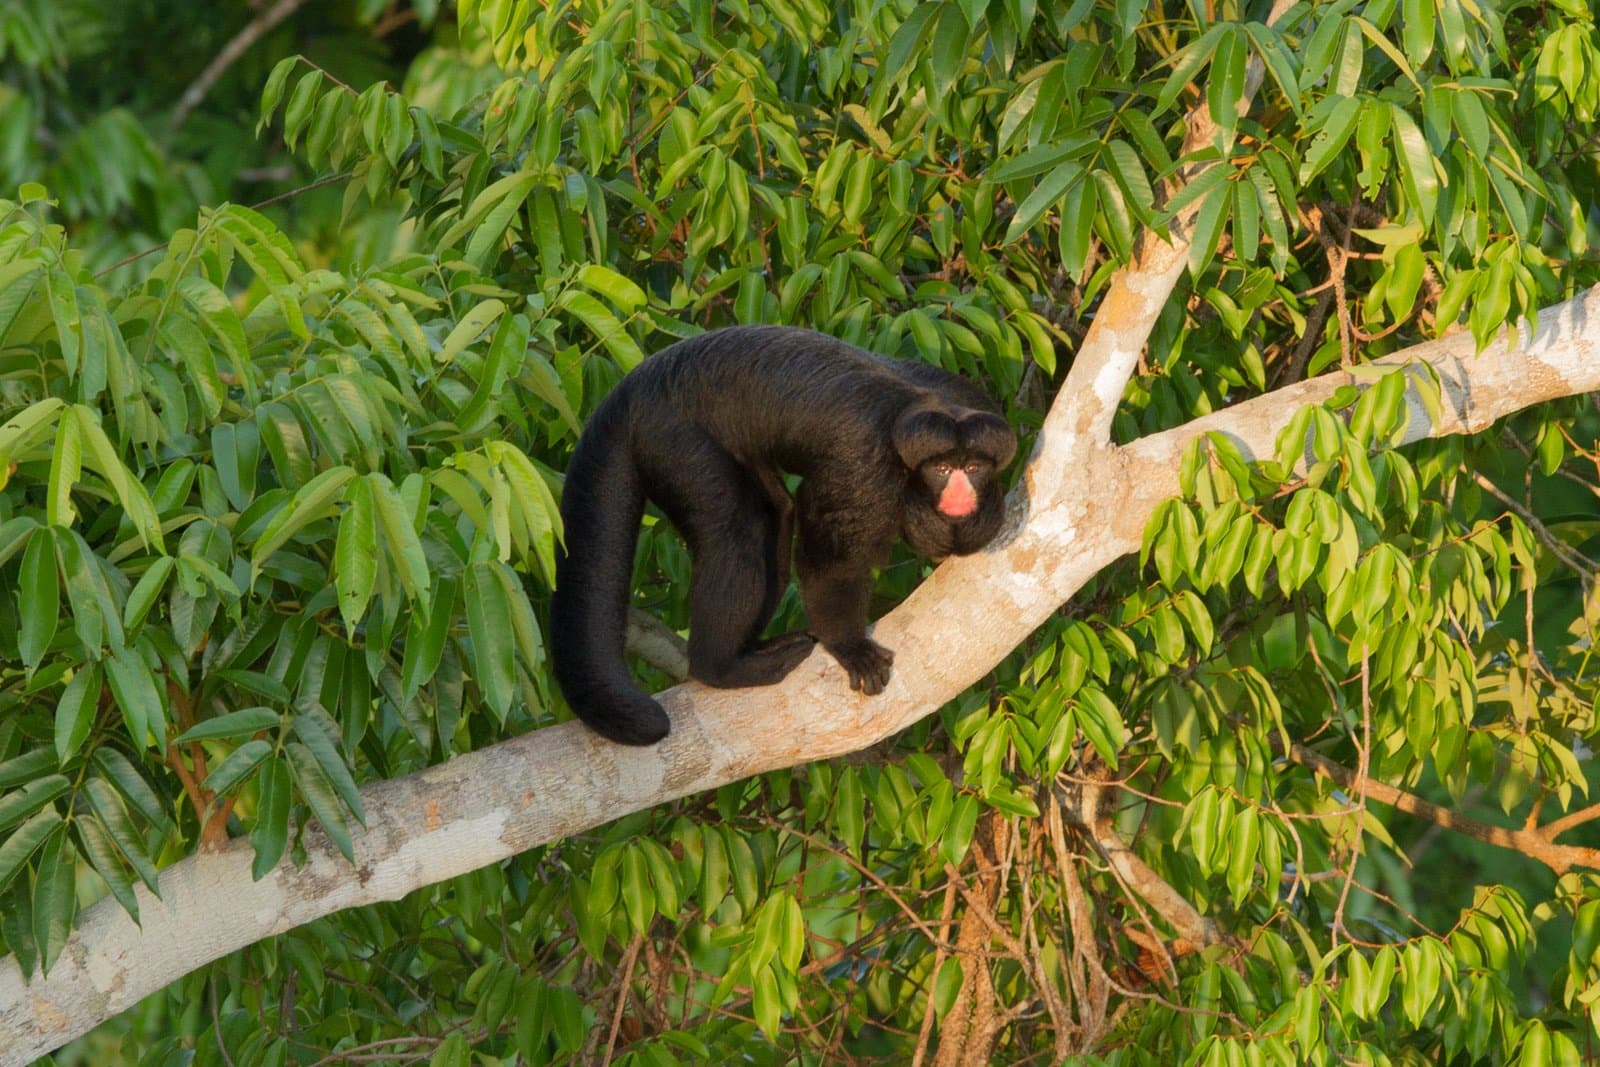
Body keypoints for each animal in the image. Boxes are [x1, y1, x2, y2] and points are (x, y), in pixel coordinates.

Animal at [549, 325, 1017, 745]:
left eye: (973, 467)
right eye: (942, 469)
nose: (961, 492)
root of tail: (632, 387)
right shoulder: (864, 465)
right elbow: (832, 561)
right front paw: (848, 645)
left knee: (773, 516)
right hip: (672, 438)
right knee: (739, 529)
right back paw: (720, 668)